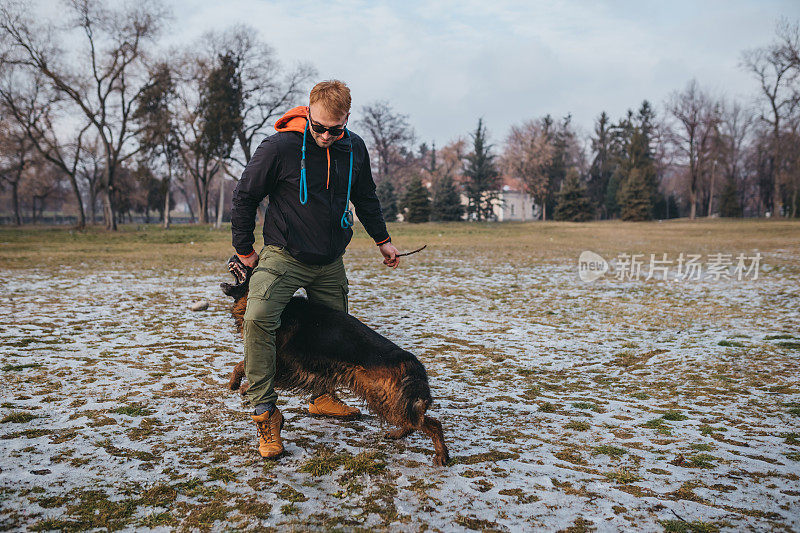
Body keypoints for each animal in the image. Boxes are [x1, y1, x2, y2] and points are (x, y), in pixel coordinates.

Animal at [220, 255, 450, 466]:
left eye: (254, 261)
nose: (235, 255)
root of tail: (409, 360)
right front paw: (239, 384)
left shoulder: (280, 359)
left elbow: (244, 365)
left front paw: (240, 385)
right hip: (386, 399)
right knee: (415, 422)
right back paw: (398, 434)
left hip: (383, 397)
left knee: (432, 423)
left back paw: (441, 455)